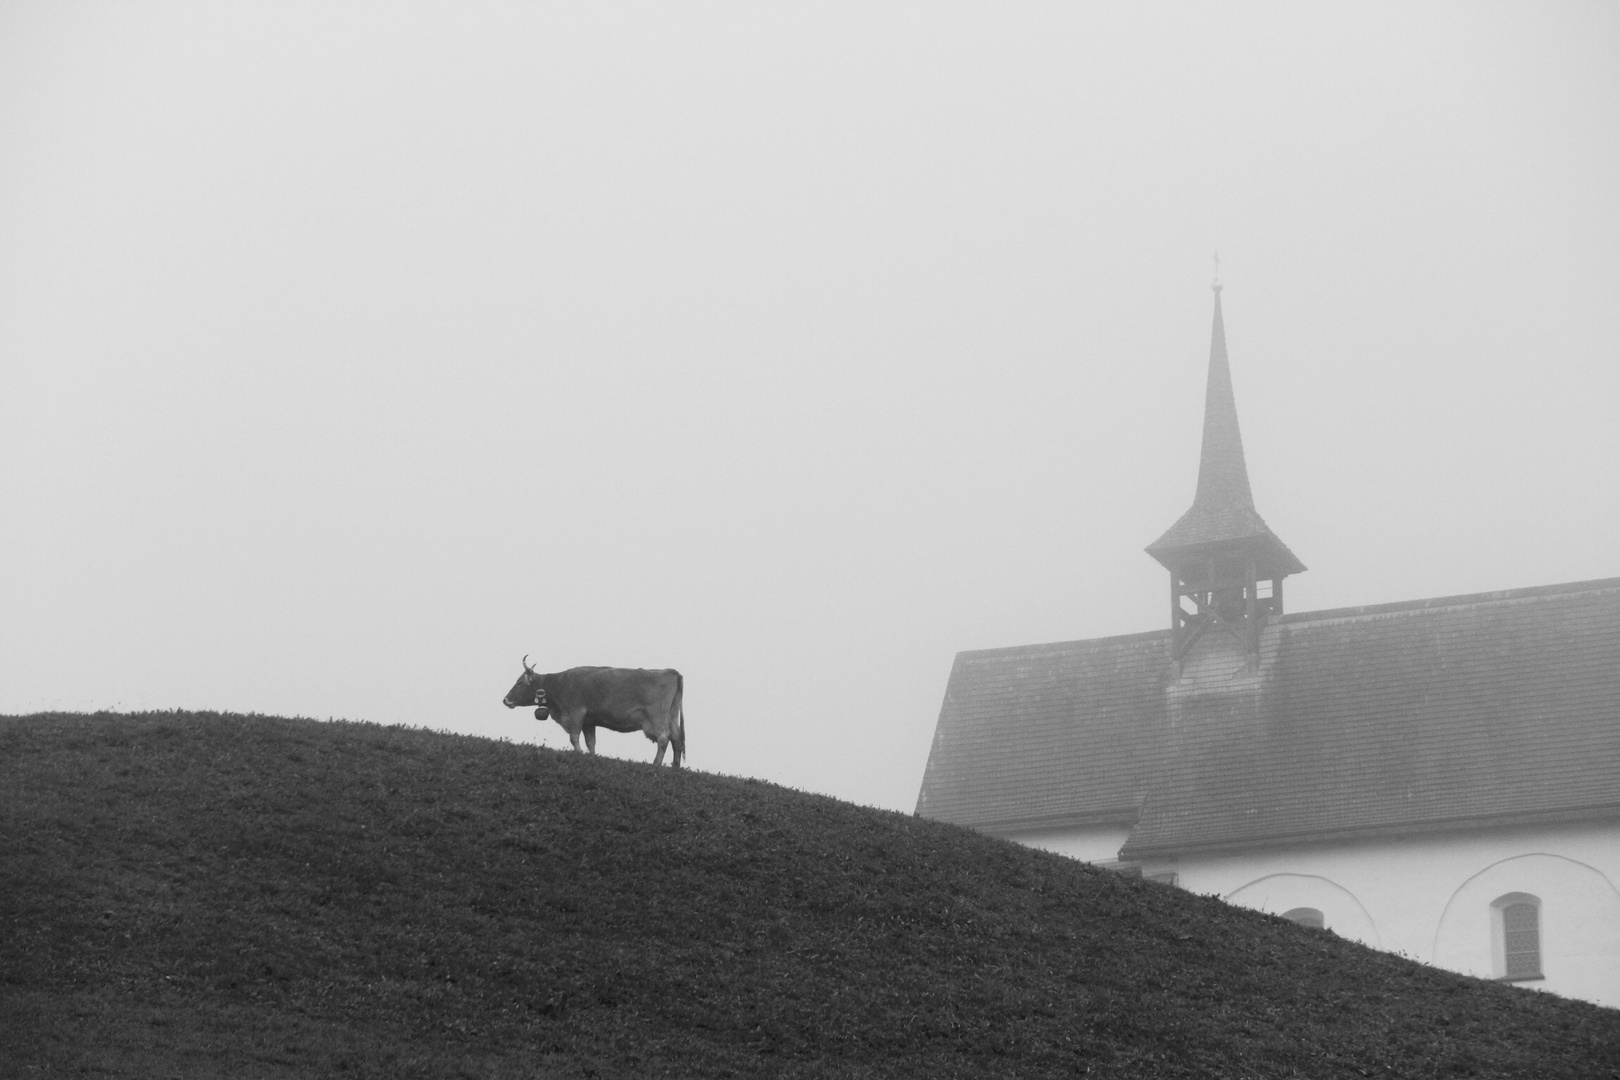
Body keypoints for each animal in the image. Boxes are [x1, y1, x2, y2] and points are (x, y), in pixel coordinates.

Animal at [502, 660, 686, 767]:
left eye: (519, 683)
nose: (505, 700)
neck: (559, 683)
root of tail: (672, 671)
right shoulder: (589, 721)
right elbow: (591, 742)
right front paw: (591, 757)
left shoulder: (576, 713)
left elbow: (574, 737)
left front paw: (579, 753)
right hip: (671, 716)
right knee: (677, 739)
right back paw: (675, 767)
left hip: (657, 717)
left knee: (664, 738)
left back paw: (656, 764)